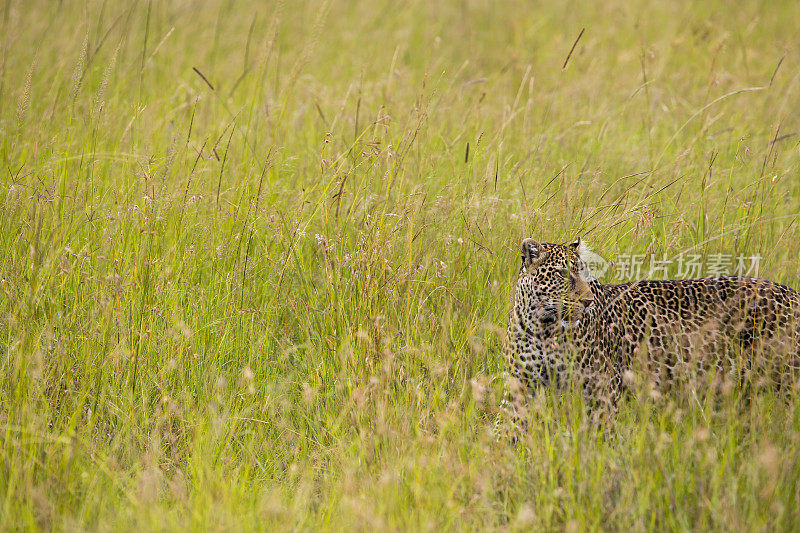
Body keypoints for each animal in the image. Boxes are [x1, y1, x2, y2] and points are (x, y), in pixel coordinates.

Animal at [500, 237, 800, 424]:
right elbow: (505, 429)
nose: (587, 301)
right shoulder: (519, 383)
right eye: (563, 275)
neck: (542, 326)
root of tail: (793, 293)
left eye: (585, 274)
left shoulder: (602, 387)